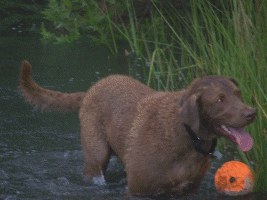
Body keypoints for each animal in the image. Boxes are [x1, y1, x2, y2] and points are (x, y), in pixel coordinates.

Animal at [19, 60, 256, 197]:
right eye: (219, 100)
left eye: (238, 93)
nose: (252, 112)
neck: (186, 136)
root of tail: (88, 92)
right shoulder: (137, 190)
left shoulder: (190, 190)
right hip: (96, 156)